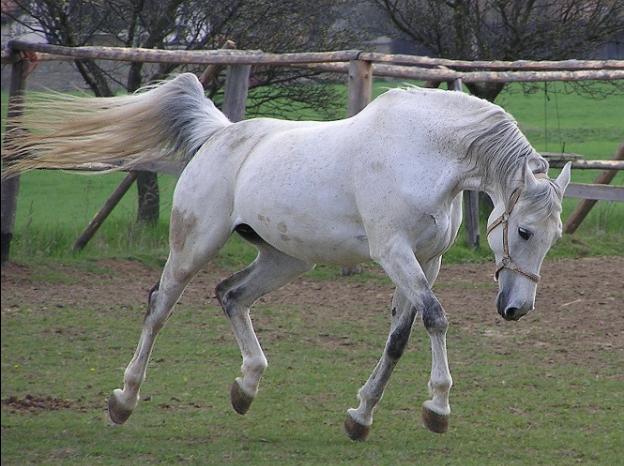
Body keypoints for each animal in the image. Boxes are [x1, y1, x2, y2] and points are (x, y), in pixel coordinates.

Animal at [3, 73, 572, 440]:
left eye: (554, 237)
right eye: (523, 230)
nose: (516, 309)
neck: (425, 153)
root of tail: (219, 133)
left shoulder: (425, 262)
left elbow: (398, 338)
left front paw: (360, 417)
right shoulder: (394, 253)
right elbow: (435, 318)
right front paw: (437, 406)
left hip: (285, 259)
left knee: (230, 295)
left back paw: (246, 387)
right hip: (193, 245)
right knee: (159, 306)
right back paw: (124, 401)